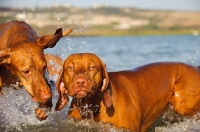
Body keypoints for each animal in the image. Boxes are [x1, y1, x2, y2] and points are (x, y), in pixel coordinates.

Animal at [54, 53, 200, 131]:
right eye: (70, 68)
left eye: (92, 67)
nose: (80, 82)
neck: (92, 105)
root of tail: (196, 67)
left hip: (182, 105)